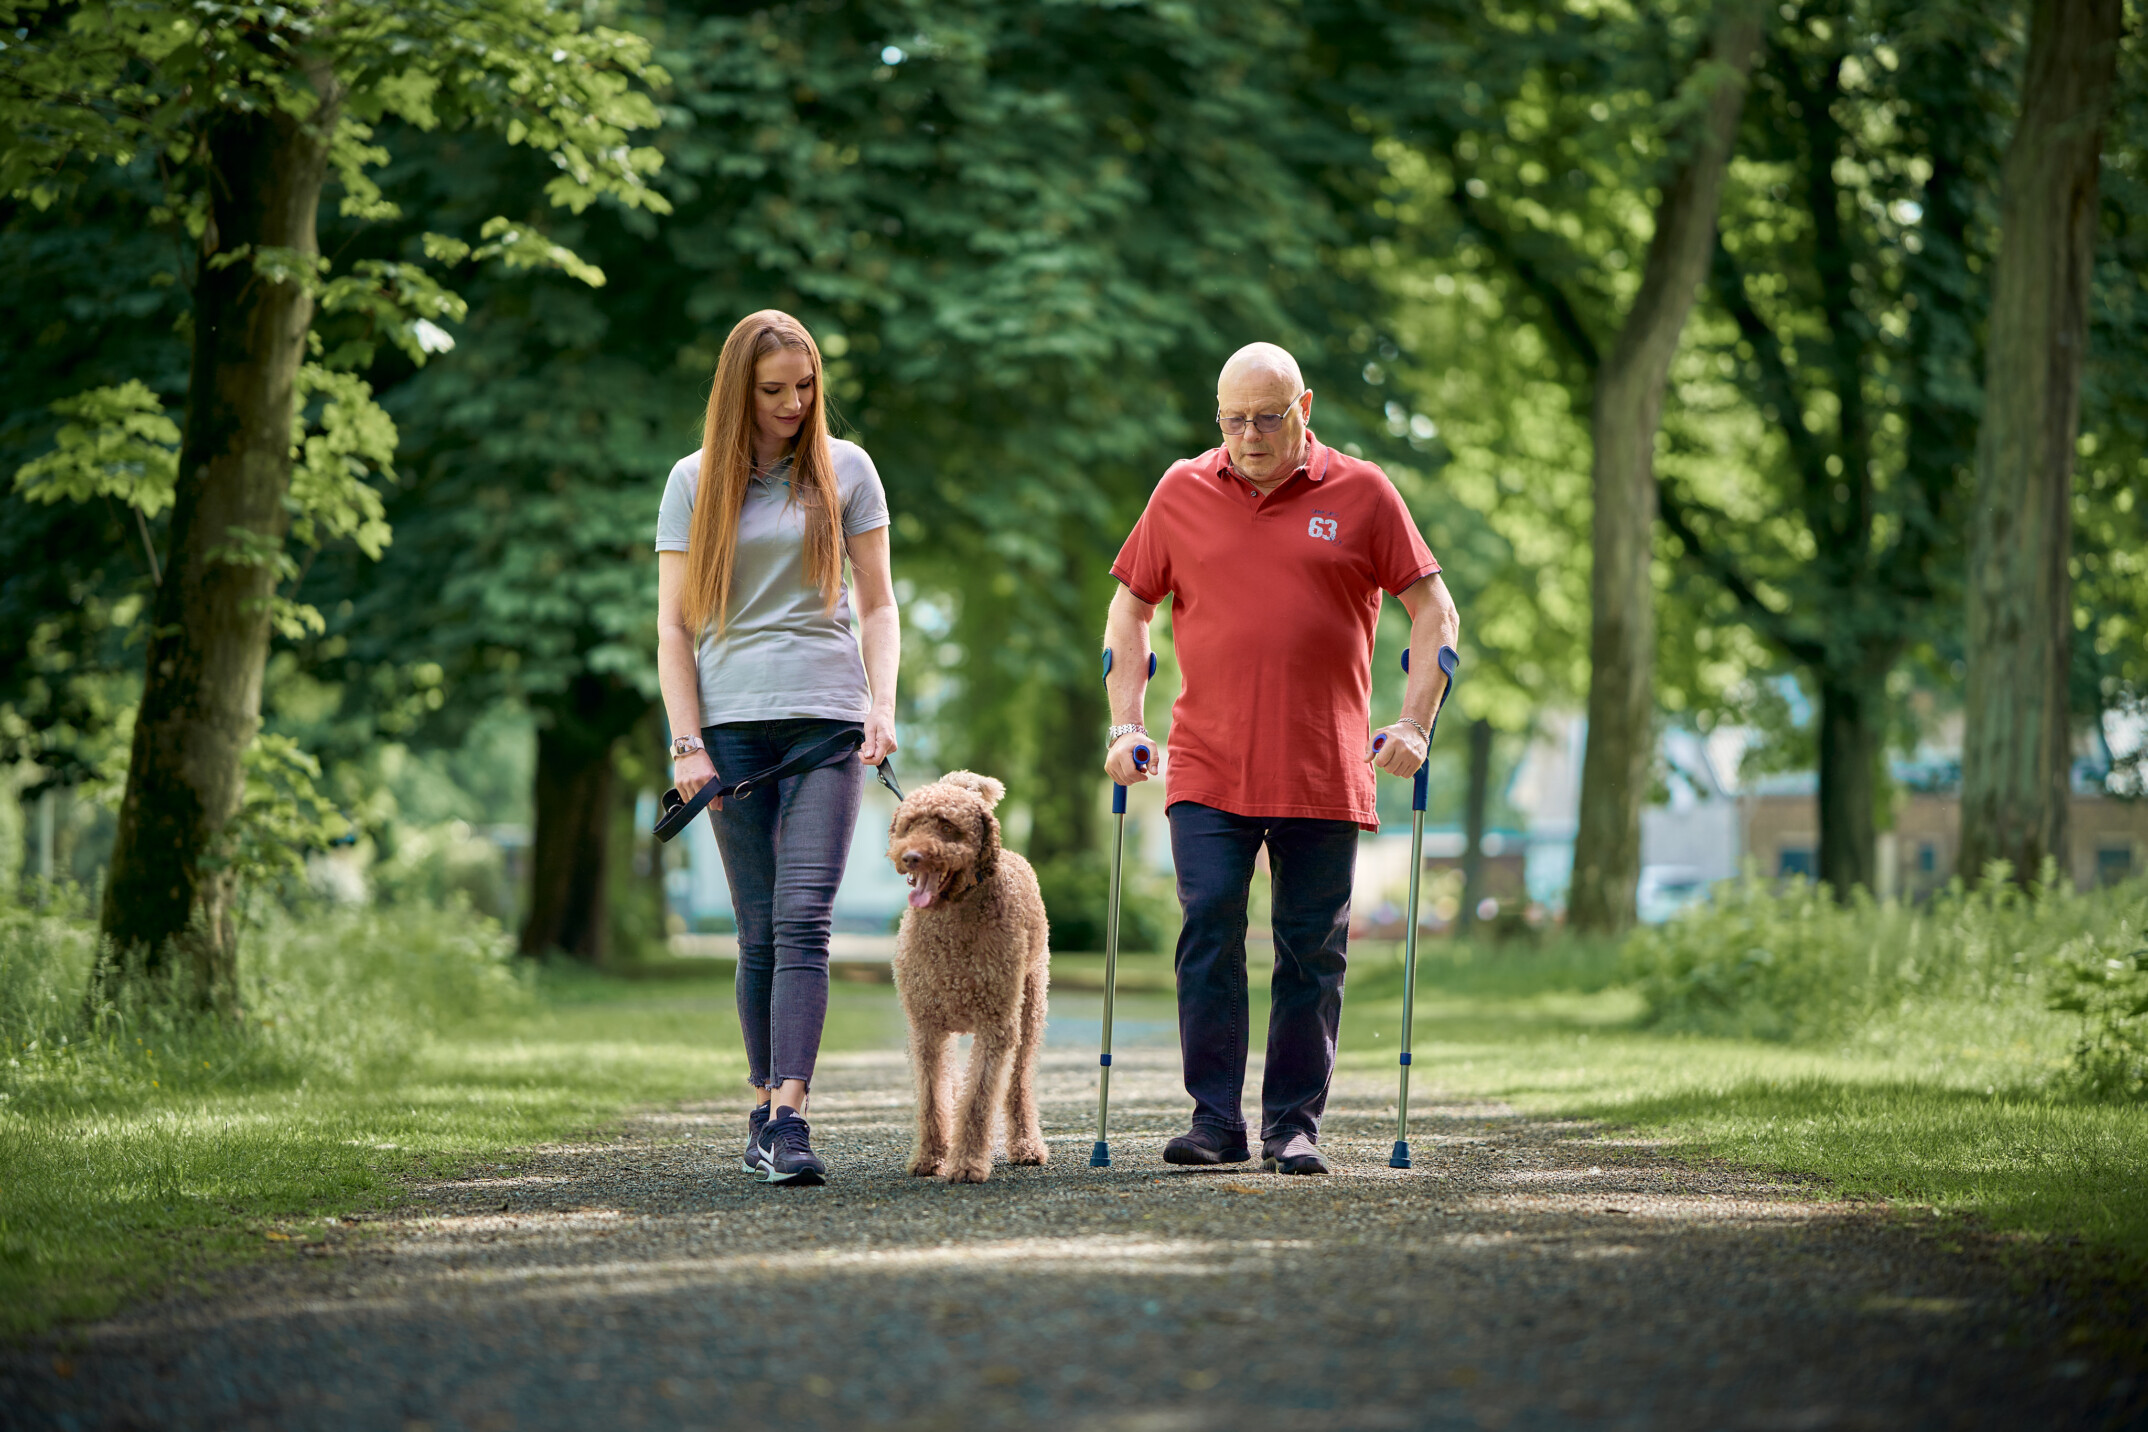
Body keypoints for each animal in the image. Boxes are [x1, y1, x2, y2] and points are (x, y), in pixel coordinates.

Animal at [884, 772, 1052, 1185]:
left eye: (948, 827)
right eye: (910, 825)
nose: (911, 856)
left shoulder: (996, 1026)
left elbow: (977, 1100)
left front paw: (967, 1163)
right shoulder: (926, 1028)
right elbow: (933, 1097)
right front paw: (930, 1157)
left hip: (1030, 1008)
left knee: (1019, 1084)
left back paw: (1026, 1145)